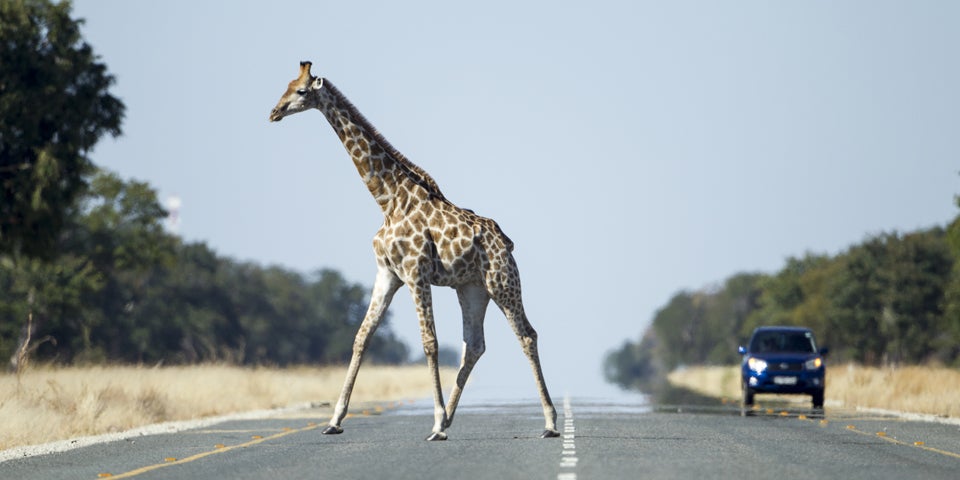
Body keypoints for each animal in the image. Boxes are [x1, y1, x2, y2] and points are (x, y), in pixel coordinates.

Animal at [269, 61, 559, 441]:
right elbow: (361, 337)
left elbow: (429, 342)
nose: (274, 112)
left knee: (526, 335)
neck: (388, 200)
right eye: (287, 86)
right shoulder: (387, 274)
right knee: (474, 345)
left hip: (502, 282)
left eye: (301, 91)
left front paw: (434, 421)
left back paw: (549, 423)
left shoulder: (415, 272)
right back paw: (449, 419)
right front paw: (334, 421)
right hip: (472, 289)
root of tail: (506, 241)